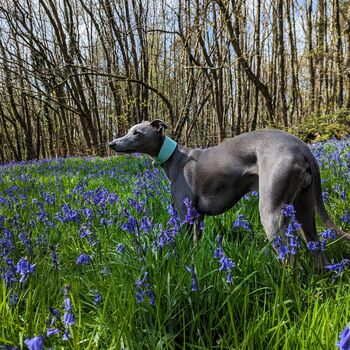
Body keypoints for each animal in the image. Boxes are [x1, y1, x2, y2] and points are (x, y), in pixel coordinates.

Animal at [109, 119, 350, 266]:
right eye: (129, 130)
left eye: (137, 132)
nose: (111, 143)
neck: (175, 158)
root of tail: (302, 148)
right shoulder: (197, 216)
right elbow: (196, 243)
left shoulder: (184, 214)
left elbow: (186, 242)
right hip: (304, 208)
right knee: (316, 246)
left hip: (271, 211)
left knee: (289, 255)